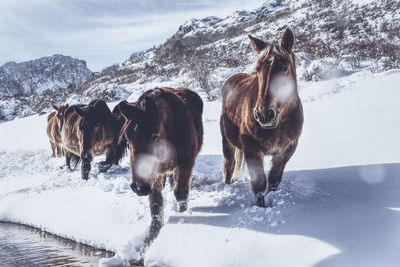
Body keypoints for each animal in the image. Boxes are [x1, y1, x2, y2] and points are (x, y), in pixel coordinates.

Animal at [219, 28, 304, 207]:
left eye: (284, 68)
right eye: (258, 69)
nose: (264, 114)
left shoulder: (286, 150)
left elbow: (274, 182)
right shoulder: (252, 150)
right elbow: (259, 185)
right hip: (227, 141)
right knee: (229, 165)